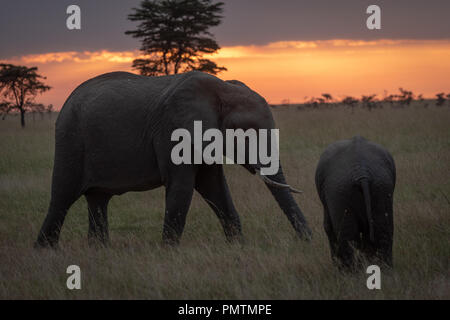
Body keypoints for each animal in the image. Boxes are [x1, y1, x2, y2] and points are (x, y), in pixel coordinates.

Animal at [35, 72, 312, 248]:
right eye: (247, 134)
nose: (307, 241)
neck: (222, 90)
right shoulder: (174, 130)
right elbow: (182, 187)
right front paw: (168, 252)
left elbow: (214, 186)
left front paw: (238, 248)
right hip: (71, 139)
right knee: (62, 197)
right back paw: (45, 251)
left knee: (98, 199)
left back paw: (99, 251)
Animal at [314, 136, 396, 270]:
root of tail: (362, 171)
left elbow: (328, 227)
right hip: (381, 186)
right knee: (383, 230)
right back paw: (384, 269)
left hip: (340, 190)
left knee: (348, 237)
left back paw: (349, 273)